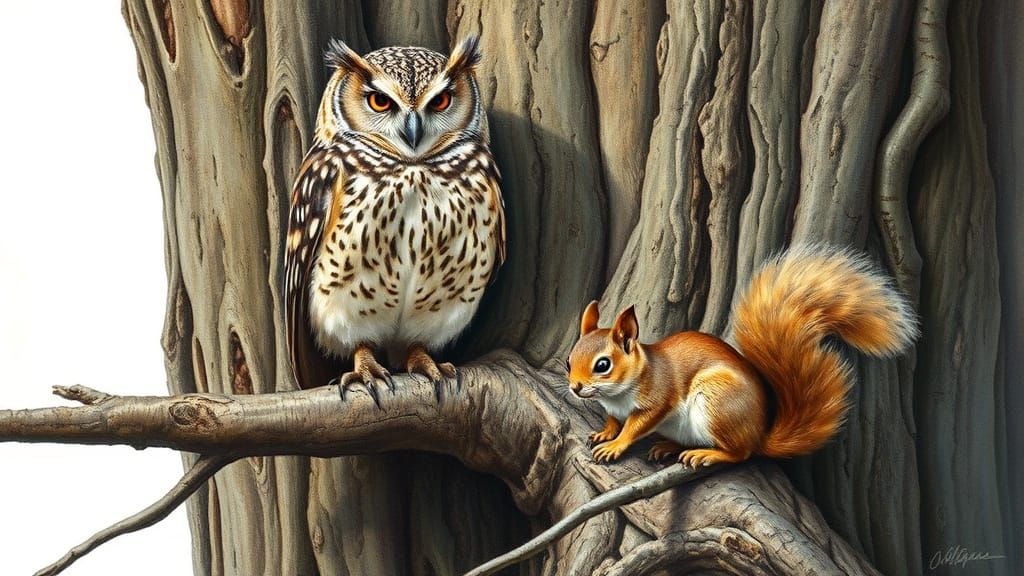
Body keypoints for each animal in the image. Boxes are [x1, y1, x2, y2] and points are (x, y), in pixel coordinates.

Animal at [567, 245, 919, 467]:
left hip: (718, 403)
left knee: (741, 454)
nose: (575, 387)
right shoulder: (614, 408)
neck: (618, 392)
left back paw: (709, 455)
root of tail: (759, 435)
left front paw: (616, 445)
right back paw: (670, 446)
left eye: (603, 365)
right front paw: (605, 432)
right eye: (569, 360)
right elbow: (614, 420)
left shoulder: (658, 398)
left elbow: (636, 425)